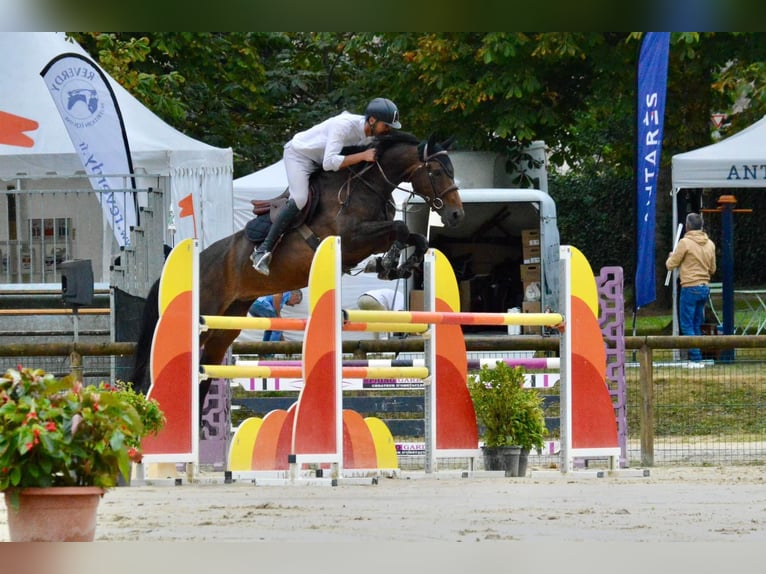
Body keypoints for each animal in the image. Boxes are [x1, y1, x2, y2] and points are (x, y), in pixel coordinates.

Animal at [130, 130, 464, 410]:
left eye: (452, 170)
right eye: (436, 172)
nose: (456, 215)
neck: (366, 187)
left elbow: (414, 236)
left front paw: (395, 264)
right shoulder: (351, 238)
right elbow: (399, 228)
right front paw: (392, 261)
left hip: (227, 323)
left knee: (206, 370)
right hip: (205, 312)